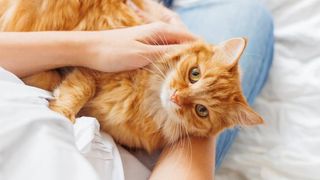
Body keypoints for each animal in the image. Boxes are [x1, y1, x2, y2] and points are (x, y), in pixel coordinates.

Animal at [1, 0, 264, 153]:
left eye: (202, 110)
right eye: (195, 74)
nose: (176, 97)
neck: (145, 98)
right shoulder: (94, 62)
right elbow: (81, 86)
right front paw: (61, 112)